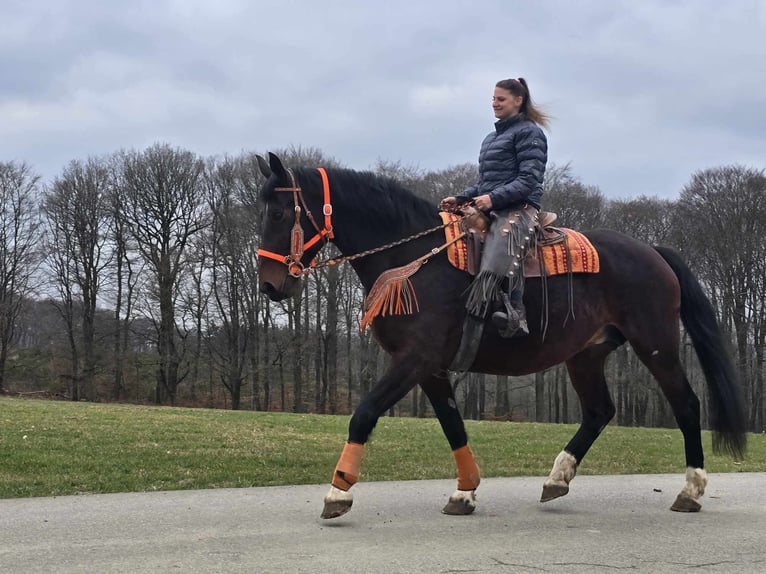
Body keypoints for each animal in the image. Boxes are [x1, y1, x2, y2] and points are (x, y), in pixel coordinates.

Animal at [255, 153, 748, 520]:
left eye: (278, 212)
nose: (270, 286)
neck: (416, 258)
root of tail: (653, 252)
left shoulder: (413, 360)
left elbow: (364, 413)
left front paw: (338, 492)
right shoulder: (430, 368)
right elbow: (452, 424)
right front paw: (464, 492)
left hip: (655, 344)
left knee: (686, 404)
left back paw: (691, 491)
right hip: (586, 354)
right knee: (599, 412)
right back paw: (556, 479)